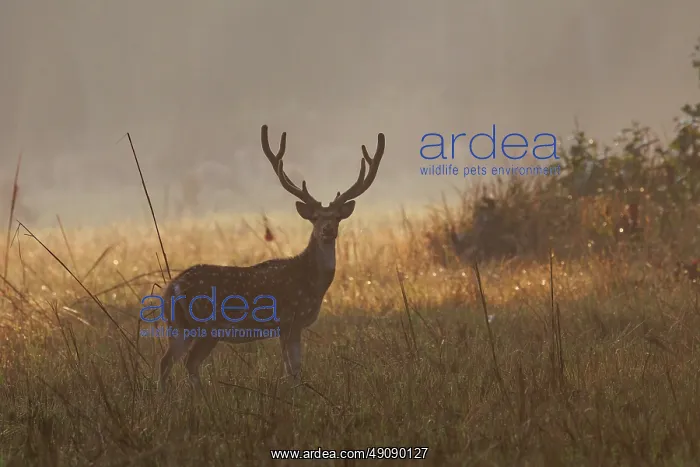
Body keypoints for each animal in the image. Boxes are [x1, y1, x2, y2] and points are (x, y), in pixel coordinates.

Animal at [156, 125, 385, 391]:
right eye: (315, 217)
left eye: (337, 217)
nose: (327, 230)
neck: (311, 281)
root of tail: (172, 287)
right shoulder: (289, 320)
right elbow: (292, 369)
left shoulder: (291, 326)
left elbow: (295, 369)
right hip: (207, 324)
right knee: (187, 362)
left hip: (178, 325)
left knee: (167, 361)